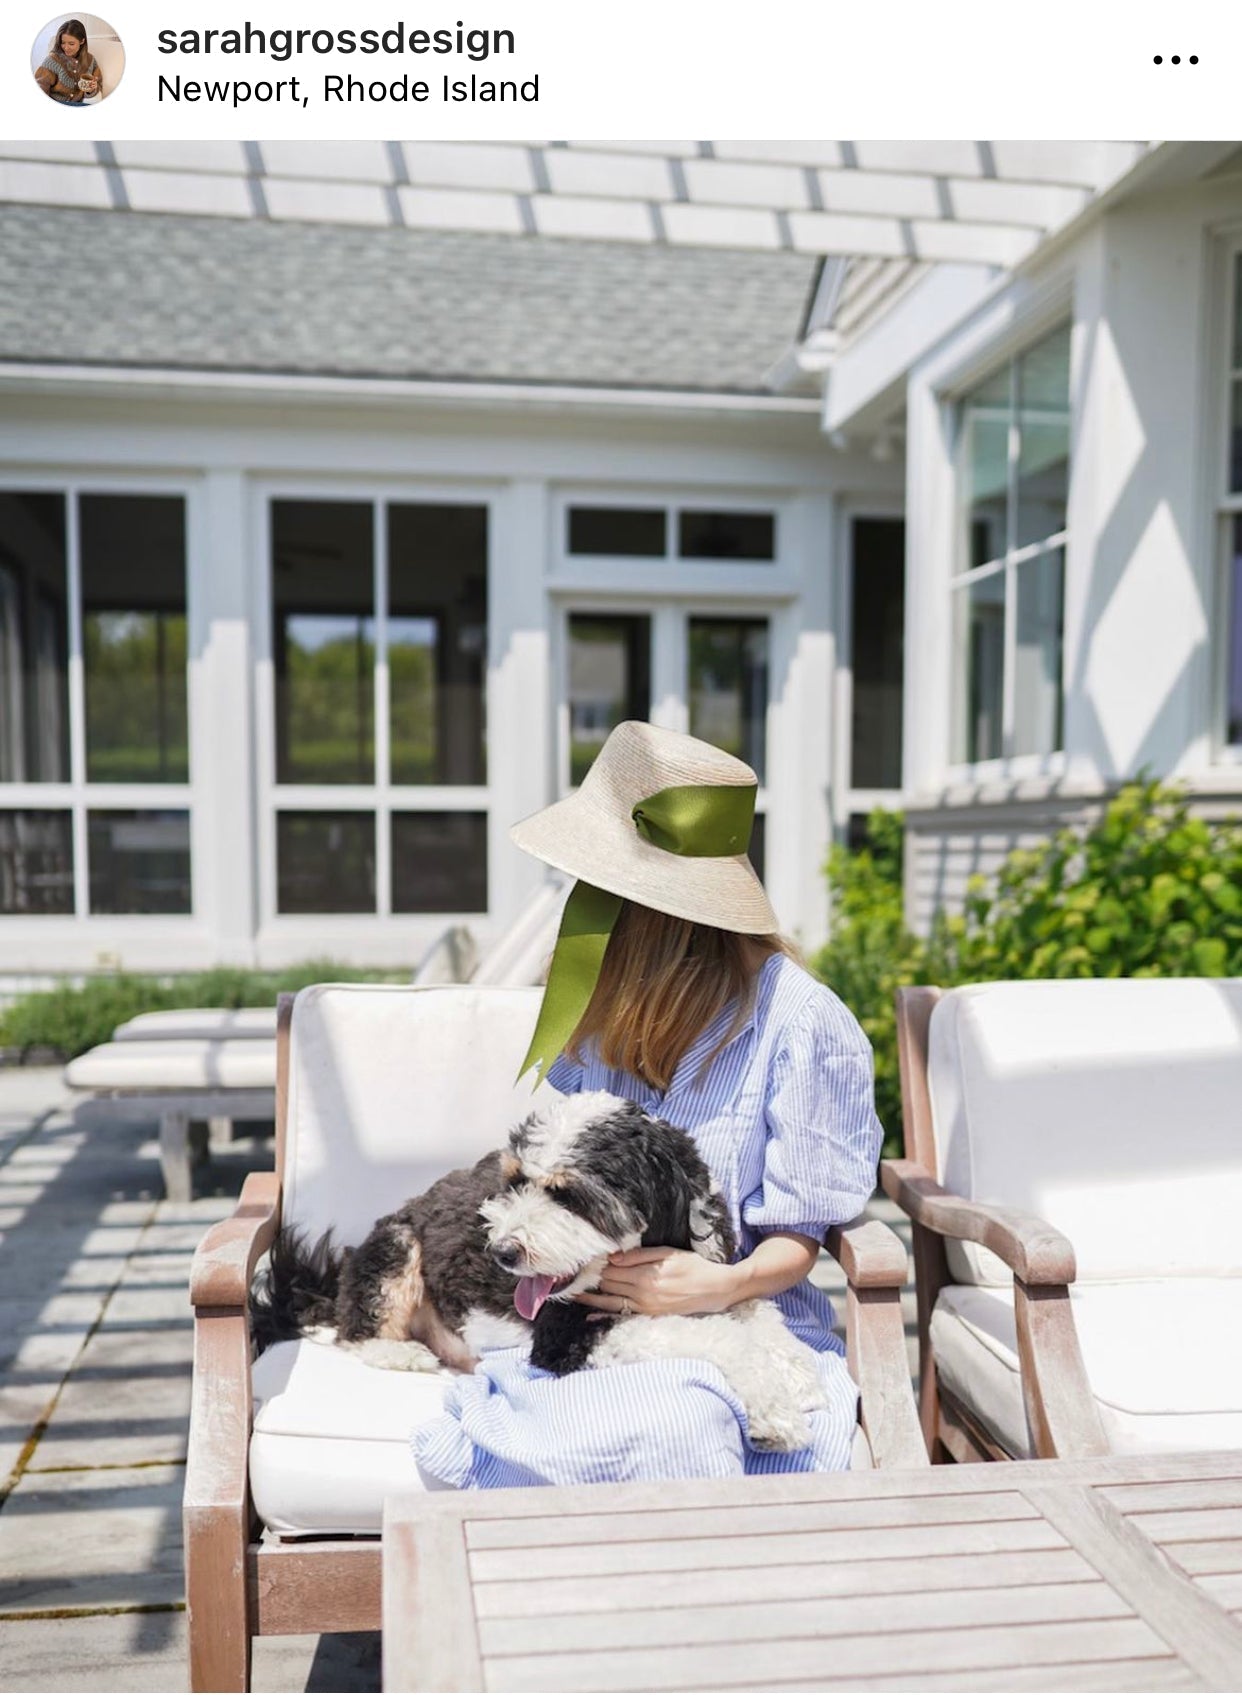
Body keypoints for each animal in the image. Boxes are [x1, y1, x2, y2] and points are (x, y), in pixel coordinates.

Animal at [254, 1091, 823, 1450]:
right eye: (515, 1183)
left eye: (568, 1195)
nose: (502, 1252)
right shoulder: (565, 1335)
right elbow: (716, 1337)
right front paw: (774, 1409)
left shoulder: (711, 1275)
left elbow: (753, 1309)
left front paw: (796, 1366)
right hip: (396, 1247)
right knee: (356, 1330)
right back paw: (402, 1353)